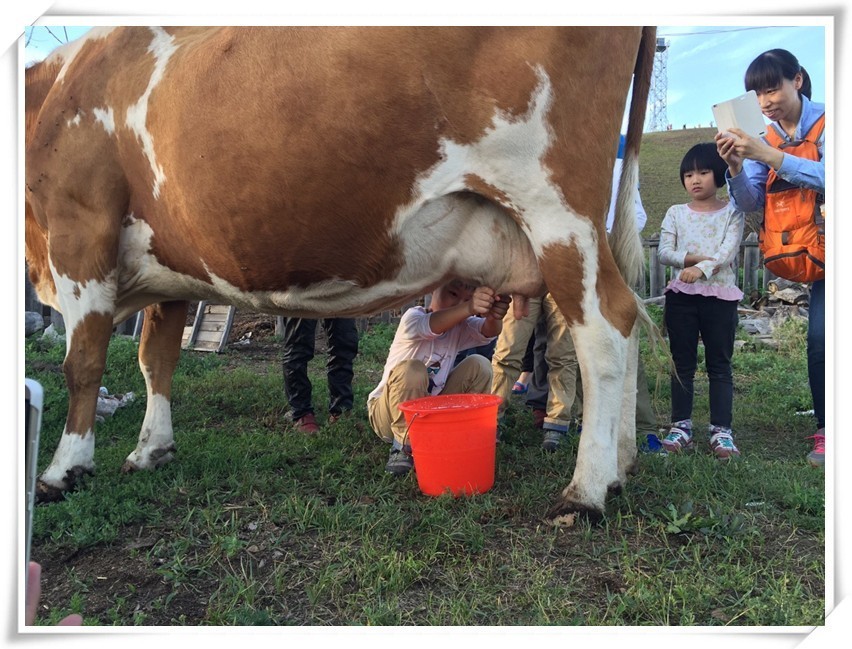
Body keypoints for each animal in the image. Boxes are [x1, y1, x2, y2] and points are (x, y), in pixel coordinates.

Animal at [25, 26, 652, 520]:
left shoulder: (80, 233)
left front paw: (64, 470)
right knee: (631, 324)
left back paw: (586, 491)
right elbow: (156, 359)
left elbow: (83, 364)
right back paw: (622, 464)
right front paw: (150, 450)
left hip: (557, 210)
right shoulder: (166, 266)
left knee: (606, 328)